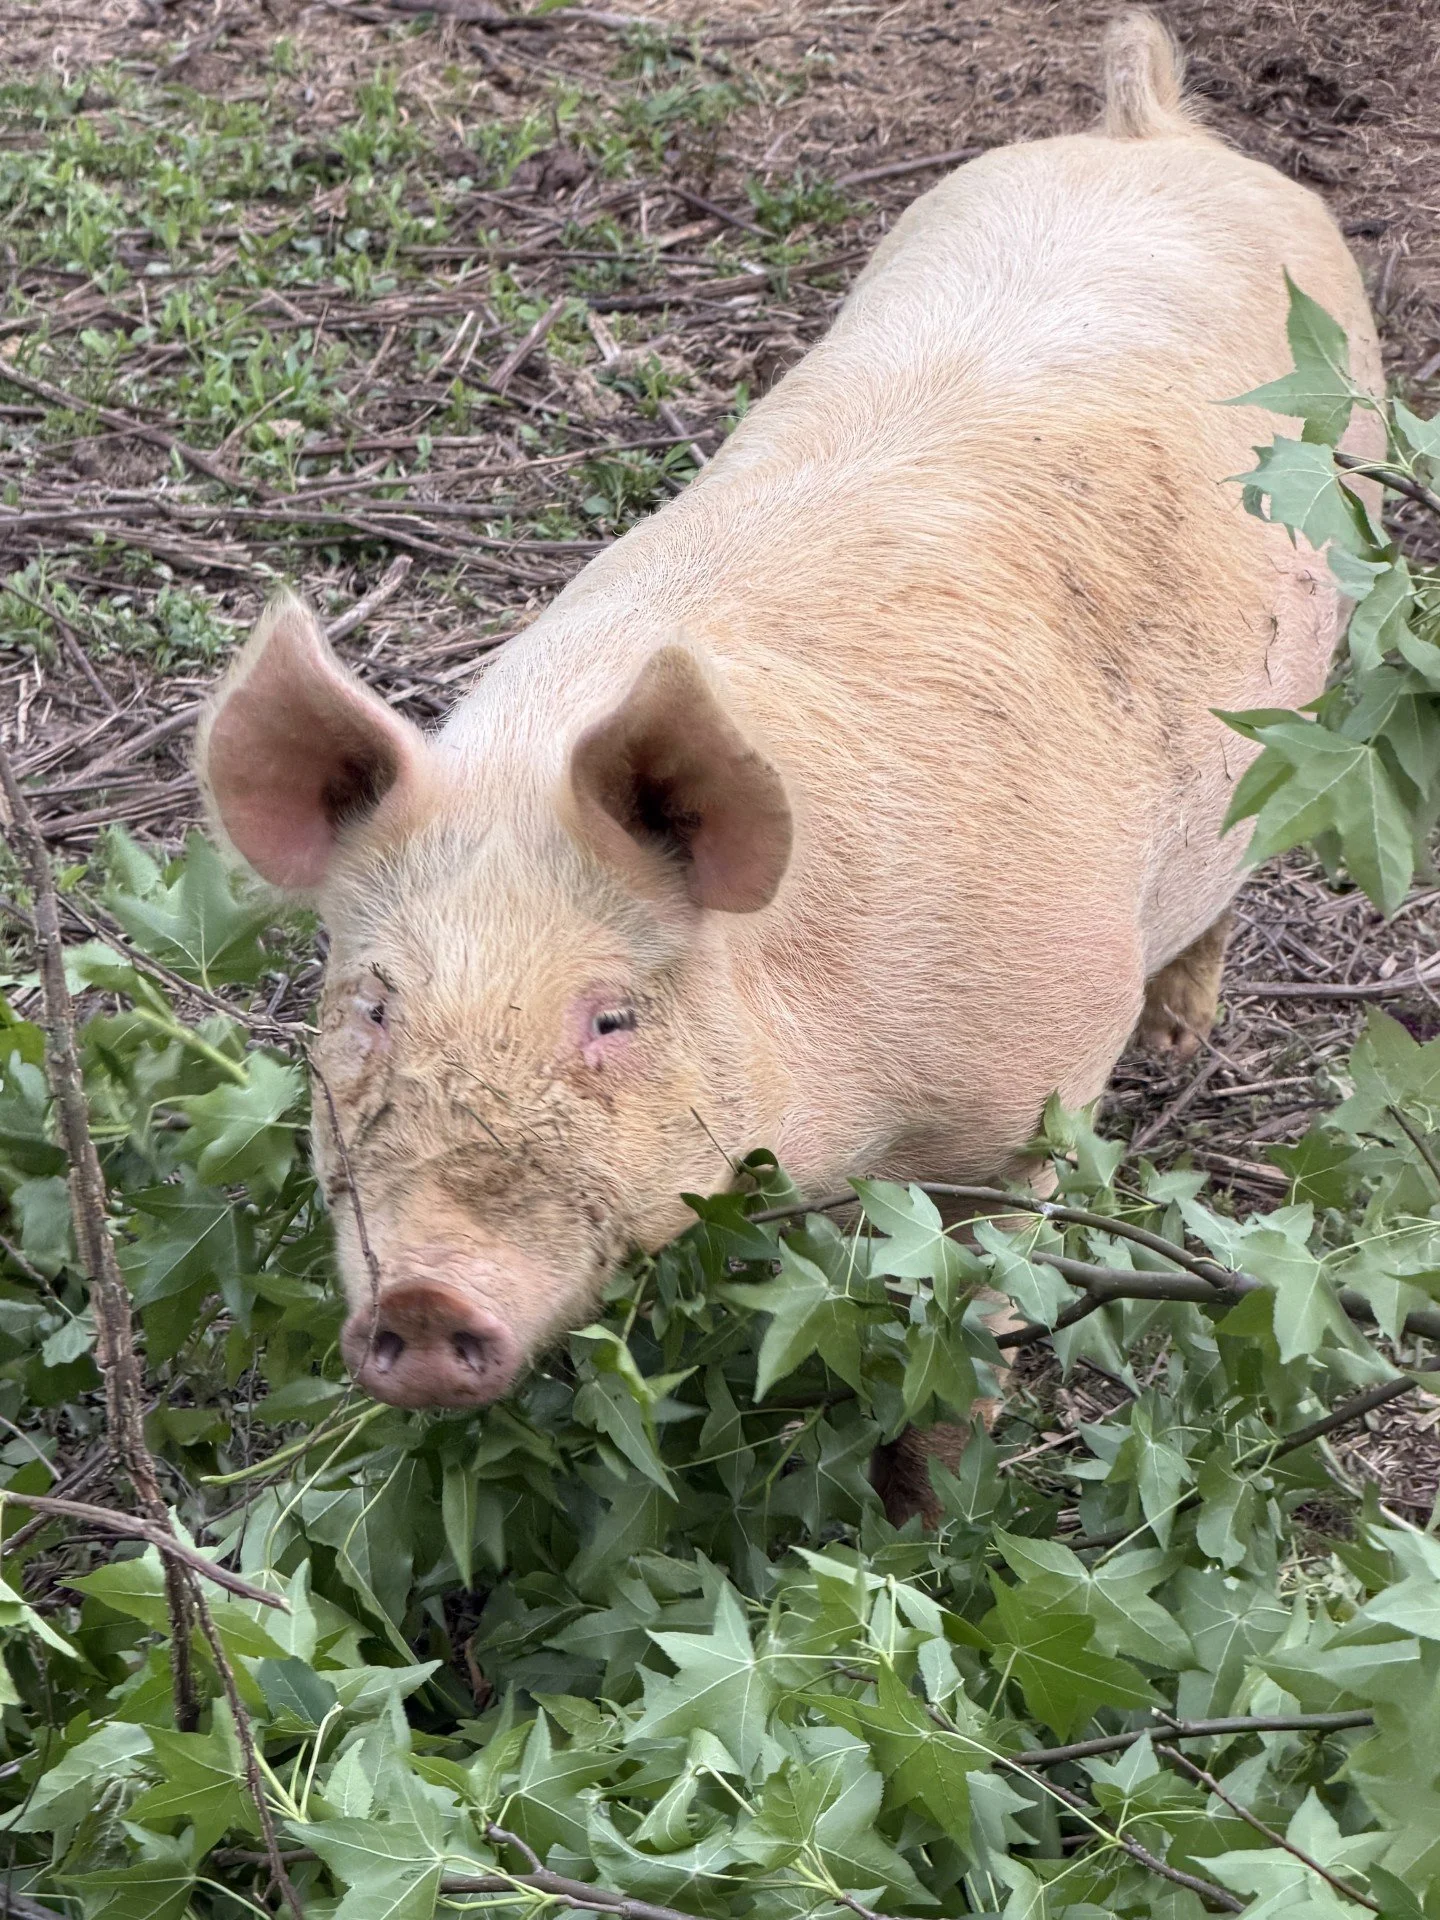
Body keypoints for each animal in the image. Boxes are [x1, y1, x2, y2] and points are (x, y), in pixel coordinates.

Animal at [198, 11, 1382, 1431]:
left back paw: (1176, 1039)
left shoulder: (1029, 1096)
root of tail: (1151, 131)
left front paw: (944, 1453)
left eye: (612, 1019)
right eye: (373, 1007)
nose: (424, 1301)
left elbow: (988, 1279)